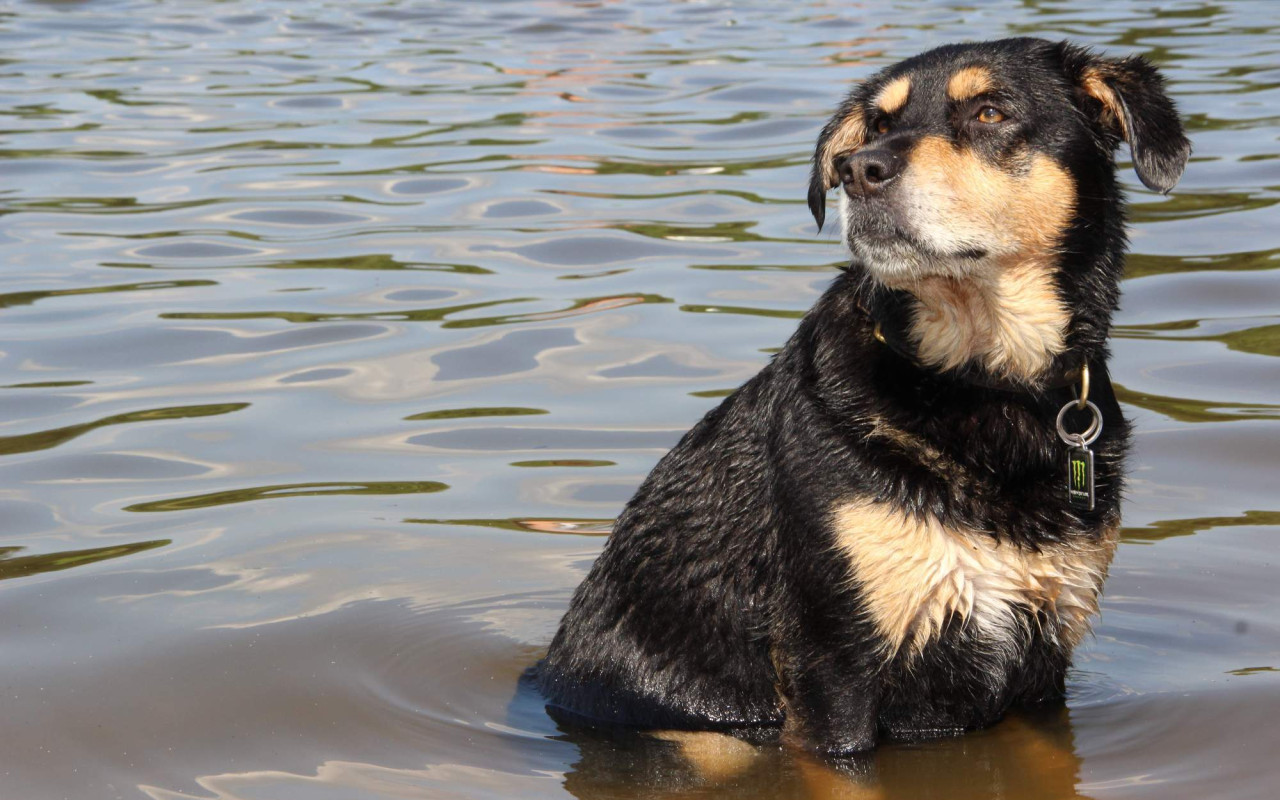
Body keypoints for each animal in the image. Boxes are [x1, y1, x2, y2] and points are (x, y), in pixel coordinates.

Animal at [532, 37, 1187, 752]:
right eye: (876, 125)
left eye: (989, 112)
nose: (857, 169)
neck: (976, 383)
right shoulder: (835, 668)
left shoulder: (1047, 657)